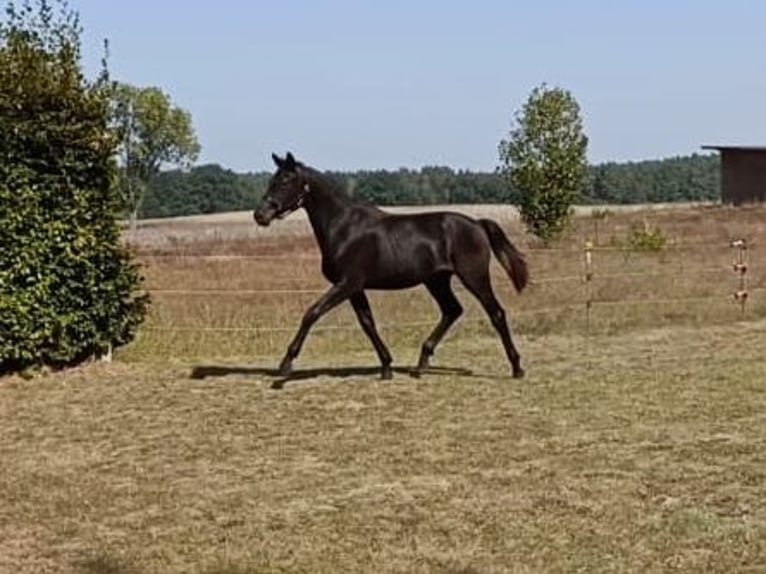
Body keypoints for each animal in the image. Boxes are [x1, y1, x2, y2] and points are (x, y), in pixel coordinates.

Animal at [255, 153, 532, 380]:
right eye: (271, 180)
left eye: (285, 180)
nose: (260, 215)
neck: (343, 227)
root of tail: (477, 224)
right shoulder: (355, 288)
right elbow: (367, 323)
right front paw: (386, 366)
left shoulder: (348, 283)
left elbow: (312, 313)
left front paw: (285, 364)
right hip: (436, 280)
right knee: (452, 310)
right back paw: (421, 363)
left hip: (473, 276)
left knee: (496, 313)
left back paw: (517, 367)